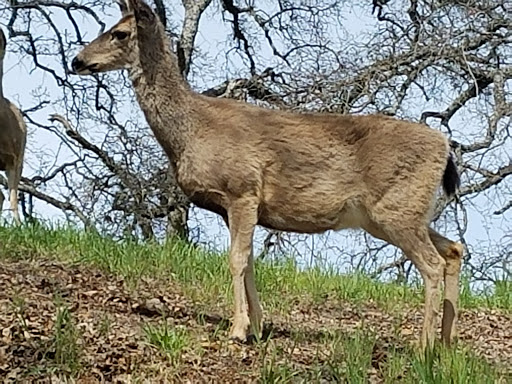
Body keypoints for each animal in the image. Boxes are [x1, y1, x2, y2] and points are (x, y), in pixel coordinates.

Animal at [70, 0, 466, 350]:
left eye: (120, 33)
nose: (77, 60)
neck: (192, 130)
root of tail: (444, 146)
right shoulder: (234, 207)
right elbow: (249, 264)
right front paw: (258, 327)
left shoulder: (242, 189)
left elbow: (236, 259)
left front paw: (238, 330)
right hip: (396, 214)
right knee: (453, 249)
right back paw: (447, 344)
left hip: (396, 209)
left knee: (432, 264)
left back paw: (424, 346)